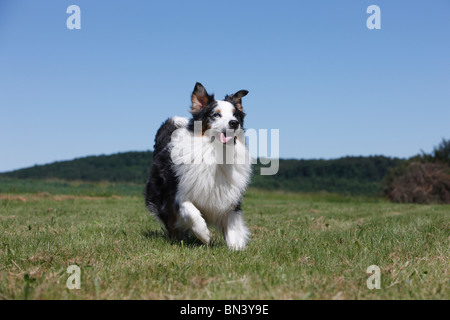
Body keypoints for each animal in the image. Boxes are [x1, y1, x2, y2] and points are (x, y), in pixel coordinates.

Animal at [147, 82, 253, 250]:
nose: (234, 123)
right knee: (170, 222)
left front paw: (236, 248)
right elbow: (190, 211)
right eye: (216, 115)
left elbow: (233, 226)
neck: (215, 152)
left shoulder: (230, 198)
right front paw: (204, 234)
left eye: (235, 115)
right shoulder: (178, 193)